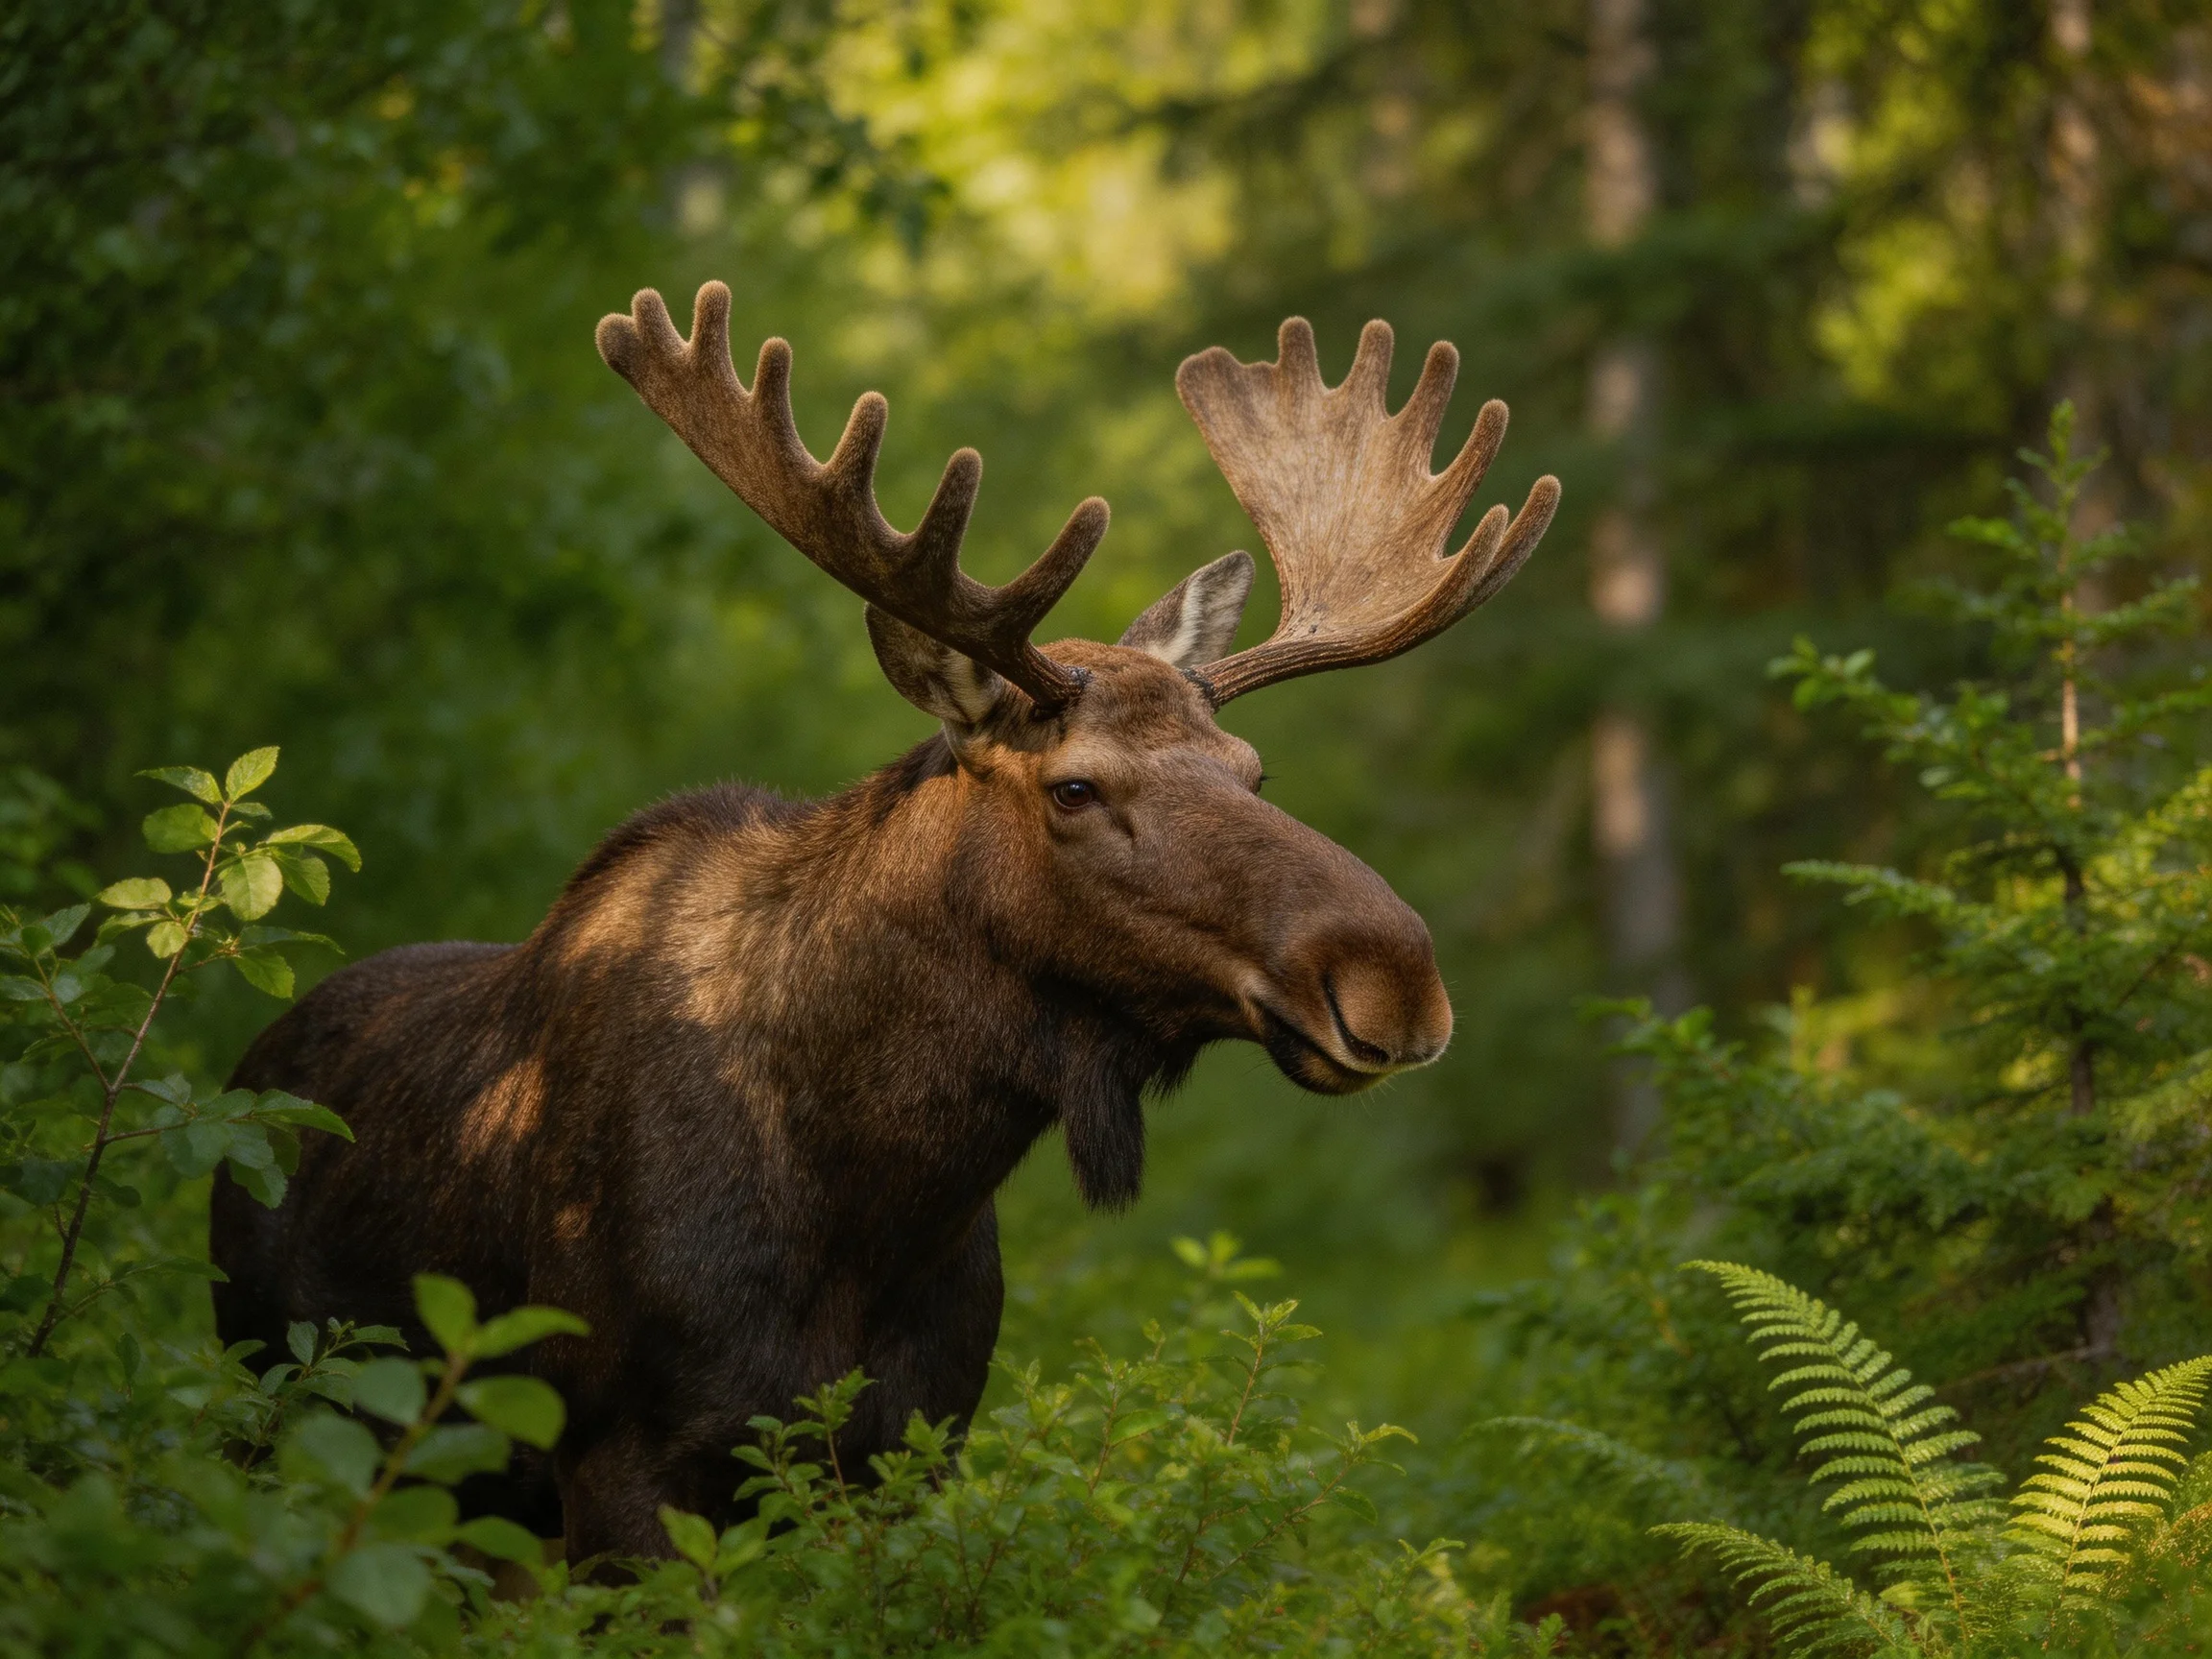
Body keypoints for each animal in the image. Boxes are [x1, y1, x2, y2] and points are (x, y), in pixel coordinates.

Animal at [209, 280, 1559, 1563]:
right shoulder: (616, 1456)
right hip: (271, 1406)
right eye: (1075, 788)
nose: (1396, 977)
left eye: (1254, 769)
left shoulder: (906, 1453)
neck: (872, 1200)